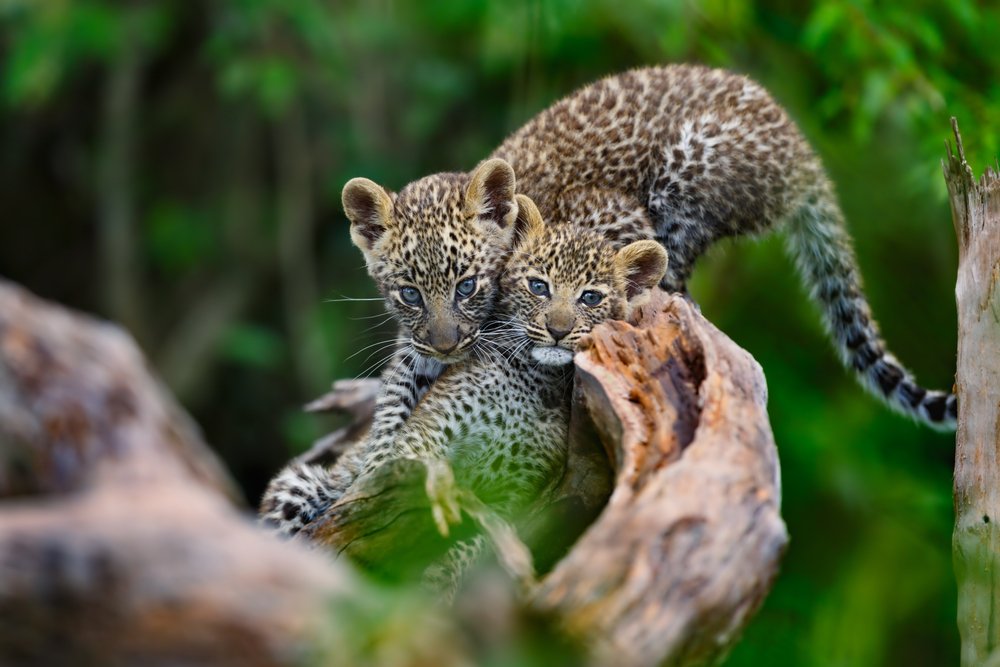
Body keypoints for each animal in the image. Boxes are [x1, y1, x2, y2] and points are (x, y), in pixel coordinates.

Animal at [340, 63, 956, 432]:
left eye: (468, 285)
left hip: (692, 166)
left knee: (676, 271)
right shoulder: (416, 339)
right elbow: (398, 385)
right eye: (408, 294)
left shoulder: (616, 214)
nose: (446, 346)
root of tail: (802, 148)